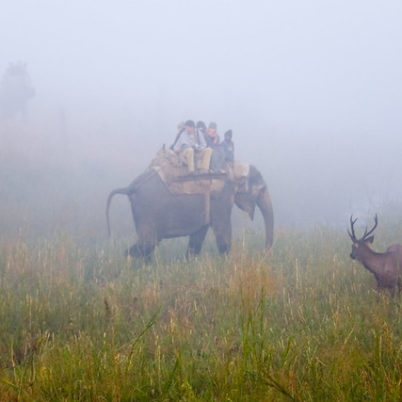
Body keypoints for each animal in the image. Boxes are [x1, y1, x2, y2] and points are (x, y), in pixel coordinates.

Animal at [106, 162, 274, 260]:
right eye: (262, 189)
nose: (264, 253)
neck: (233, 168)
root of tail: (130, 187)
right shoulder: (220, 198)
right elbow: (222, 231)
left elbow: (198, 235)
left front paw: (190, 262)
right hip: (147, 210)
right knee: (148, 243)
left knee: (149, 245)